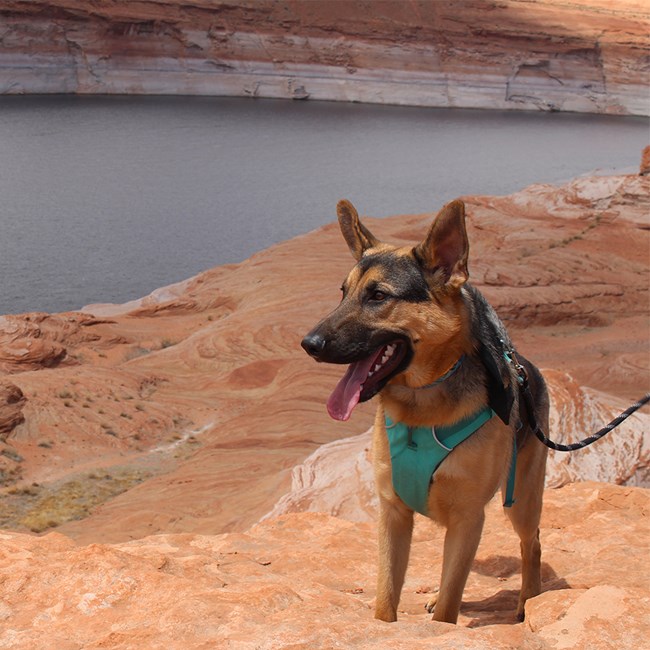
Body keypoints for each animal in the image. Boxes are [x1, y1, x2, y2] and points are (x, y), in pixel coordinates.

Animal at [302, 199, 544, 624]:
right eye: (343, 293)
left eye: (378, 296)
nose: (309, 343)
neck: (421, 408)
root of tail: (522, 364)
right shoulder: (393, 513)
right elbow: (386, 597)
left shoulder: (467, 518)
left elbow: (448, 606)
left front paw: (443, 620)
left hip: (522, 502)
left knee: (531, 544)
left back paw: (526, 601)